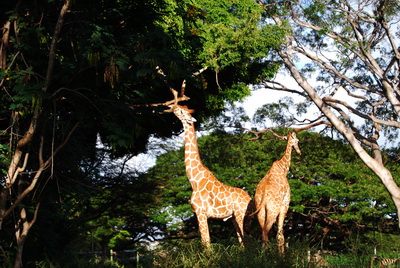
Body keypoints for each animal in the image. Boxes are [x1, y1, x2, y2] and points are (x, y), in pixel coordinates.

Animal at [170, 104, 252, 247]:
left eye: (182, 111)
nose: (173, 106)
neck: (195, 180)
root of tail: (250, 198)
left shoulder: (201, 212)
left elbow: (206, 243)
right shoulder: (199, 214)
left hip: (241, 214)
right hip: (234, 218)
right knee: (242, 240)